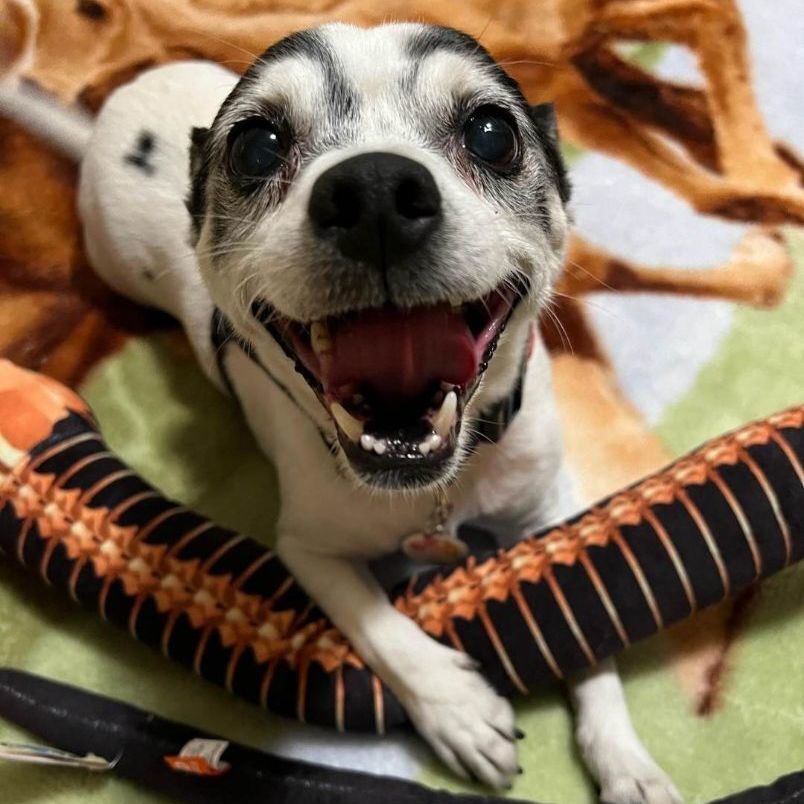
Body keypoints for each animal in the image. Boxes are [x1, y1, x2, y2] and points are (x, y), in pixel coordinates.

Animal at [0, 22, 680, 800]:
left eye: (491, 134)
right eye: (256, 146)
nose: (376, 189)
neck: (438, 489)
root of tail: (106, 118)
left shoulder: (549, 510)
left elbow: (594, 644)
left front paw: (624, 759)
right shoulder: (307, 550)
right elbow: (375, 619)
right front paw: (458, 707)